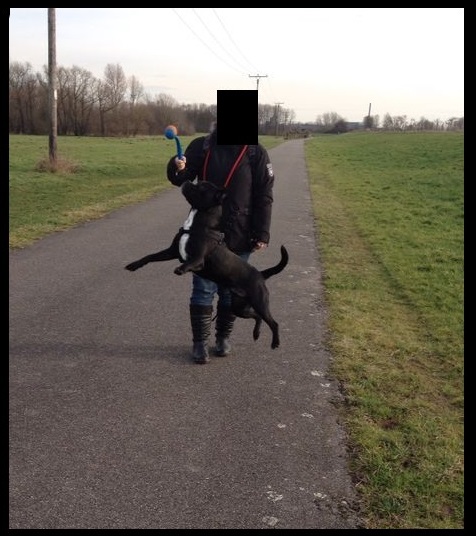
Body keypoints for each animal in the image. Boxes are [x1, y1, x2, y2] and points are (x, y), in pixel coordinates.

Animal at [124, 180, 288, 348]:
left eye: (202, 187)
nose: (189, 181)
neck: (196, 225)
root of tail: (260, 274)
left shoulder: (198, 260)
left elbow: (189, 263)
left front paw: (180, 269)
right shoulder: (171, 252)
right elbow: (150, 256)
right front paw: (134, 265)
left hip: (259, 302)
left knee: (273, 322)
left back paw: (275, 343)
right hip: (238, 307)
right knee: (257, 317)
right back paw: (256, 334)